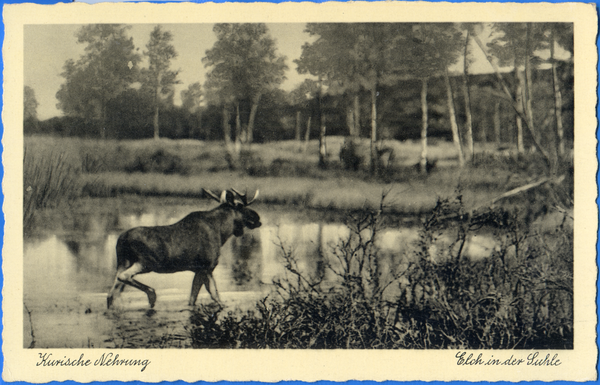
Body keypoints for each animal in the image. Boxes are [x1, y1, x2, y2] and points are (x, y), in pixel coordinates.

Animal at [107, 188, 260, 308]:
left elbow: (192, 298)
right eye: (240, 206)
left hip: (123, 262)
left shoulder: (198, 270)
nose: (257, 218)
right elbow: (215, 295)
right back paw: (152, 295)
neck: (222, 232)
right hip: (146, 262)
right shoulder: (208, 266)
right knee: (123, 277)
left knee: (111, 293)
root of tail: (122, 239)